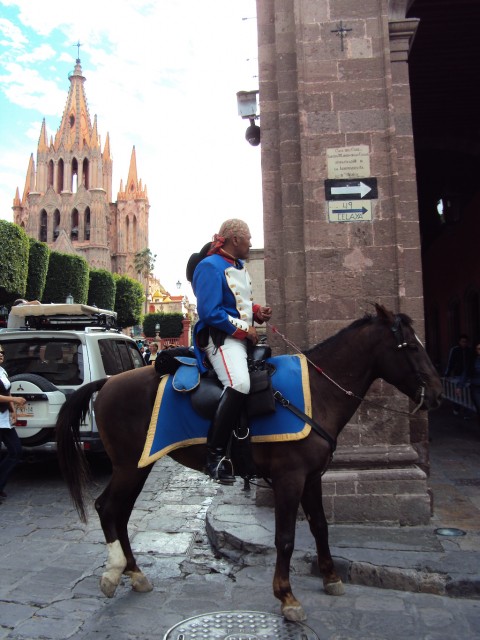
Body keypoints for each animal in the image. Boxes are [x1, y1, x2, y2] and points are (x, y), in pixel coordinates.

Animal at [55, 304, 442, 620]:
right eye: (410, 346)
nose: (438, 393)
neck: (317, 392)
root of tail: (107, 382)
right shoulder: (290, 478)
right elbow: (285, 537)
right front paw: (287, 597)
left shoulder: (312, 476)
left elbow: (320, 525)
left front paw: (331, 577)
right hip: (128, 466)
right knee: (107, 508)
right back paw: (114, 572)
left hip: (140, 466)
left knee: (120, 514)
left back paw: (135, 574)